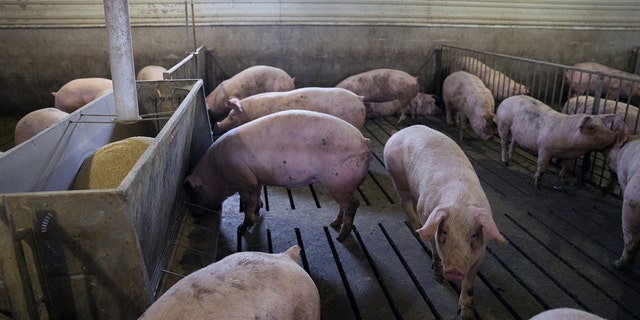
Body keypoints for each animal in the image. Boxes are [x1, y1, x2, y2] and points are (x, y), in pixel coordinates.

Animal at [185, 109, 370, 240]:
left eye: (196, 191)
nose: (192, 213)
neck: (218, 170)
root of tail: (363, 141)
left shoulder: (245, 181)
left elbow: (247, 204)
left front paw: (241, 228)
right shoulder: (255, 178)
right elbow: (256, 195)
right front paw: (259, 208)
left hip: (339, 182)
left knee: (353, 204)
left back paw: (341, 236)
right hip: (341, 185)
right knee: (345, 205)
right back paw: (333, 224)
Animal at [382, 124, 508, 320]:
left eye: (473, 235)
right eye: (444, 231)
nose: (454, 270)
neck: (460, 201)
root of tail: (399, 132)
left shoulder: (481, 253)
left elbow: (470, 284)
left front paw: (466, 315)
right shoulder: (432, 226)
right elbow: (434, 251)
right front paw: (438, 278)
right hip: (396, 176)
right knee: (405, 203)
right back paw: (417, 229)